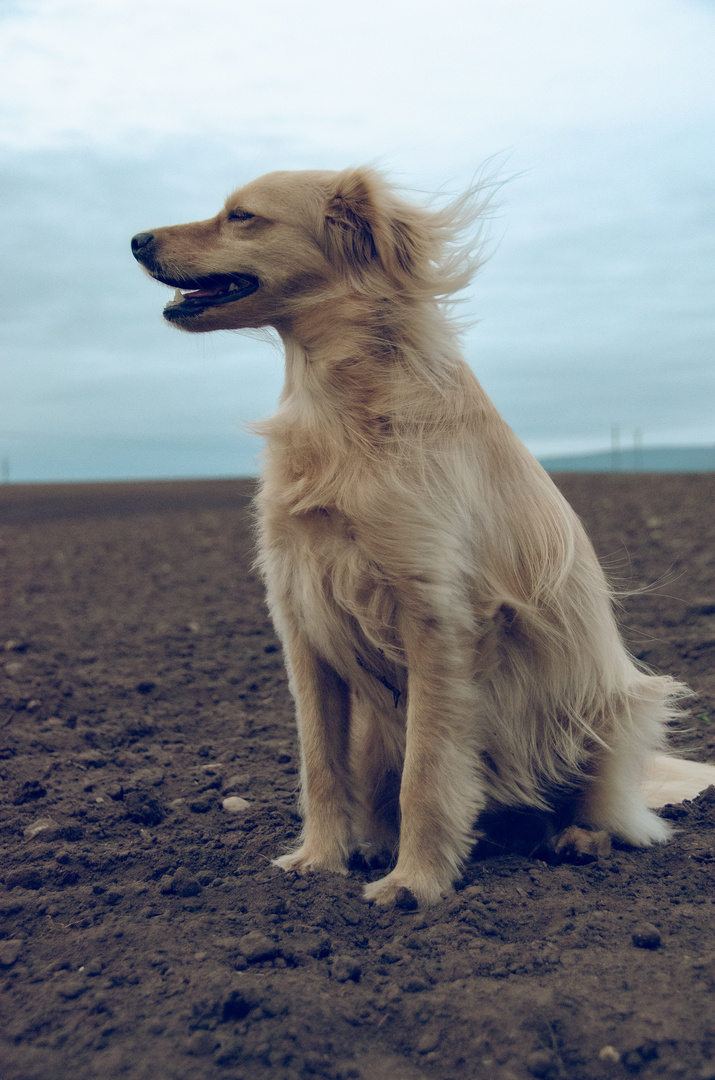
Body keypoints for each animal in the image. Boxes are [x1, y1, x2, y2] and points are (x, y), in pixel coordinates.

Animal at [132, 166, 715, 902]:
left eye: (241, 216)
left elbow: (429, 773)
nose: (135, 240)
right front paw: (321, 860)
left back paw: (575, 840)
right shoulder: (300, 622)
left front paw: (415, 882)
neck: (337, 409)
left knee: (609, 811)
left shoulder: (435, 618)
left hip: (611, 705)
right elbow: (319, 765)